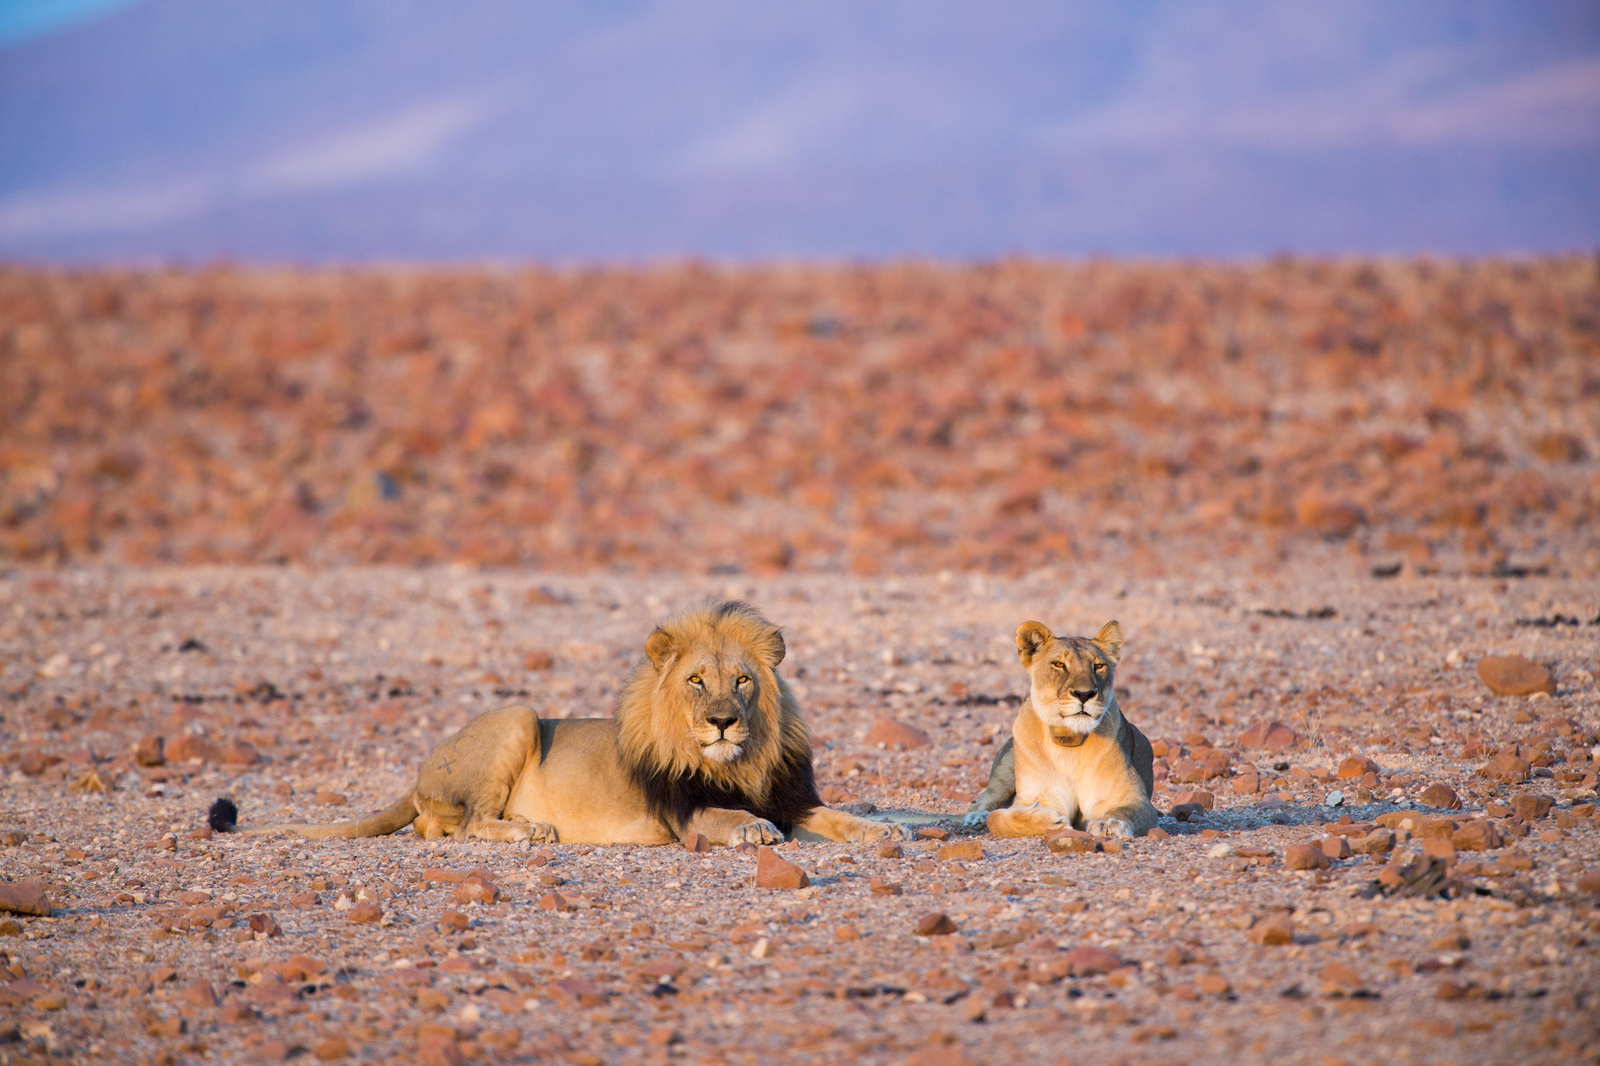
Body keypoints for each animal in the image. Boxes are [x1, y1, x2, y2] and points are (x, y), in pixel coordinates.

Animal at [209, 600, 909, 847]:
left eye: (742, 681)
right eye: (695, 681)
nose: (721, 723)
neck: (740, 764)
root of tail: (418, 774)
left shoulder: (792, 797)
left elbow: (836, 816)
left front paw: (885, 830)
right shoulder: (681, 816)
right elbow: (728, 815)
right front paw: (752, 830)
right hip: (517, 716)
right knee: (463, 825)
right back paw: (527, 831)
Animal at [961, 620, 1158, 838]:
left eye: (1098, 666)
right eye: (1059, 664)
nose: (1084, 694)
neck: (1069, 743)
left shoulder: (1135, 799)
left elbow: (1126, 811)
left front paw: (1109, 823)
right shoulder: (1042, 796)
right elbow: (997, 819)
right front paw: (1049, 821)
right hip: (1005, 767)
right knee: (984, 802)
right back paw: (976, 817)